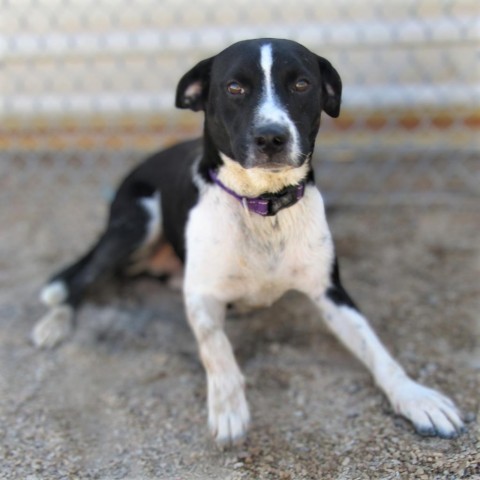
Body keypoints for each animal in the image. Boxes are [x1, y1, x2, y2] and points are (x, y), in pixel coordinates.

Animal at [31, 37, 464, 446]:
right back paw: (55, 323)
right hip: (137, 220)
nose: (271, 137)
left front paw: (416, 397)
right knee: (83, 275)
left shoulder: (330, 290)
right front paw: (228, 408)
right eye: (235, 87)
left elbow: (377, 350)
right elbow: (216, 349)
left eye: (301, 84)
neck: (263, 206)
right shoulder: (200, 294)